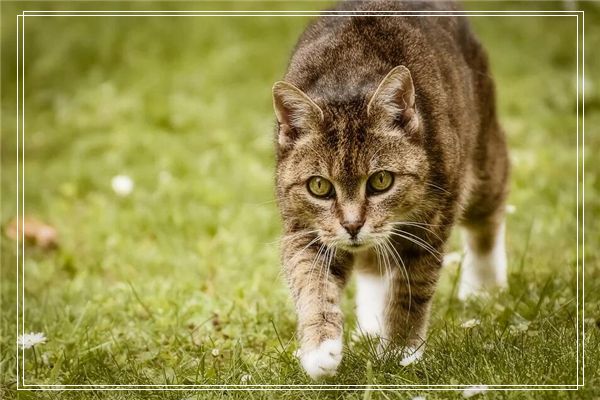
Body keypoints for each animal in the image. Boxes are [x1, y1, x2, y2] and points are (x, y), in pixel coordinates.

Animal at [274, 0, 508, 380]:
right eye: (319, 186)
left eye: (381, 181)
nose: (352, 226)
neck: (350, 77)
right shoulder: (304, 228)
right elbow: (312, 283)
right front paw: (320, 349)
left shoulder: (429, 224)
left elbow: (411, 290)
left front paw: (401, 350)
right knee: (373, 263)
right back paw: (371, 321)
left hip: (483, 160)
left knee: (487, 220)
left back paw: (483, 286)